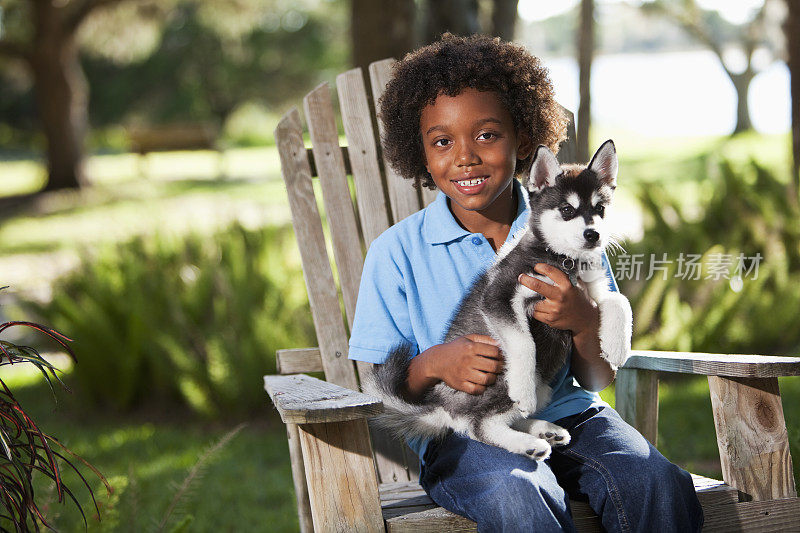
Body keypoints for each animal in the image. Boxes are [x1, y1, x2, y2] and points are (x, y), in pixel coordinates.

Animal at [362, 139, 632, 460]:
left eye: (600, 208)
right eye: (567, 210)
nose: (593, 235)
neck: (565, 260)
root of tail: (442, 408)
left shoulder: (592, 293)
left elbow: (620, 302)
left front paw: (617, 347)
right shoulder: (499, 295)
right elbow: (524, 343)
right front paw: (524, 391)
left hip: (543, 385)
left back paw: (543, 429)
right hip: (497, 376)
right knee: (477, 425)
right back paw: (529, 442)